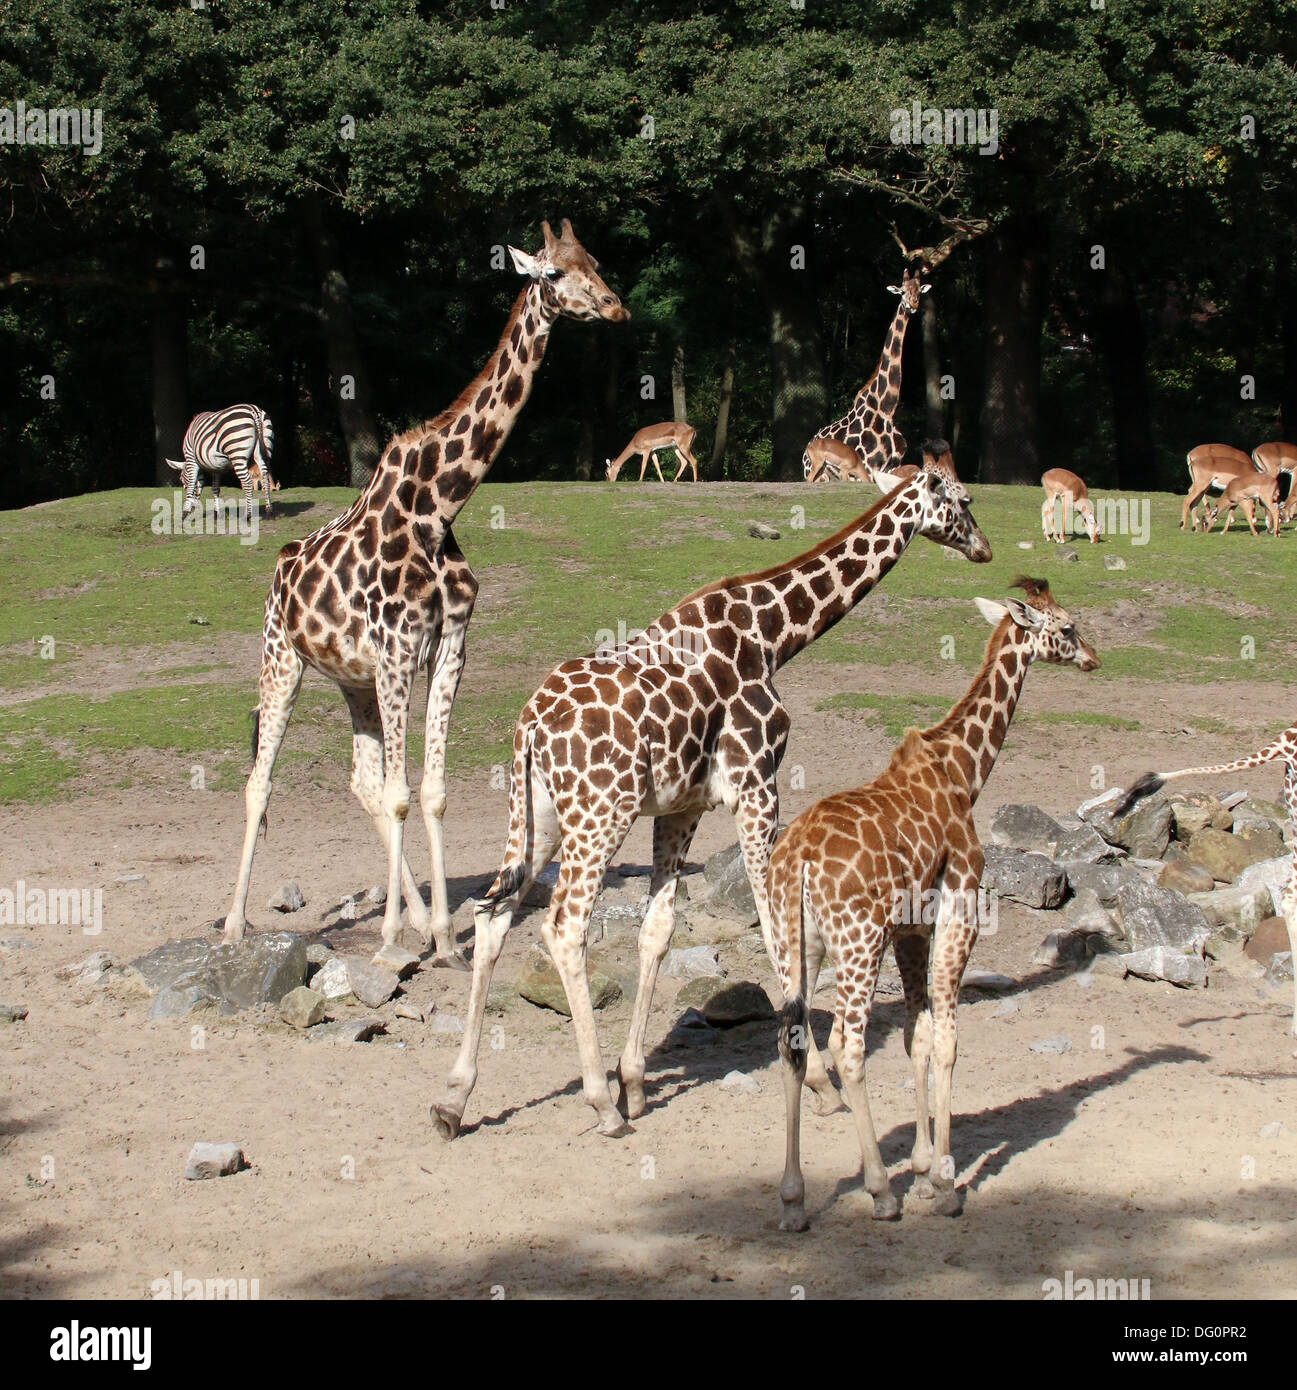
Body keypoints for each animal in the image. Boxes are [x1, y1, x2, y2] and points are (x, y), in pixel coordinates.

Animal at [221, 220, 628, 967]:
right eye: (554, 274)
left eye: (594, 261)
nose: (615, 307)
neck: (439, 507)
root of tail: (280, 567)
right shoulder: (395, 647)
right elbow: (403, 793)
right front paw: (391, 940)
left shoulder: (447, 648)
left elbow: (430, 792)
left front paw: (440, 935)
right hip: (281, 657)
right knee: (261, 781)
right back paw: (236, 924)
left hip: (351, 681)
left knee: (360, 782)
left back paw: (411, 915)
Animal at [431, 468, 992, 1142]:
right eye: (963, 501)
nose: (984, 549)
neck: (773, 637)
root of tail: (530, 727)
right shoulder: (755, 784)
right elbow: (777, 928)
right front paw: (819, 1081)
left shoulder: (683, 806)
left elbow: (658, 931)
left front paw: (636, 1081)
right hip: (601, 813)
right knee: (564, 926)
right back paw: (598, 1103)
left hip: (537, 815)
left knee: (494, 916)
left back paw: (454, 1098)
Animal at [770, 577, 1100, 1231]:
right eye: (1068, 627)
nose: (1094, 658)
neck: (965, 770)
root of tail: (797, 862)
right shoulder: (962, 899)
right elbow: (946, 1038)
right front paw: (943, 1184)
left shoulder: (910, 929)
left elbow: (915, 1035)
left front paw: (923, 1169)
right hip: (857, 941)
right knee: (848, 1047)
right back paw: (879, 1191)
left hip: (802, 943)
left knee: (791, 1039)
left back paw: (794, 1201)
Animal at [802, 268, 929, 482]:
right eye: (902, 291)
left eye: (919, 291)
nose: (913, 305)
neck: (886, 409)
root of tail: (807, 447)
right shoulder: (867, 467)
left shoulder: (890, 467)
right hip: (819, 473)